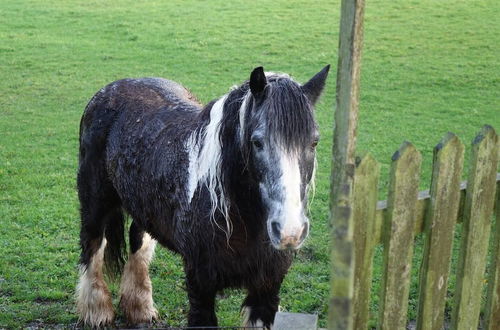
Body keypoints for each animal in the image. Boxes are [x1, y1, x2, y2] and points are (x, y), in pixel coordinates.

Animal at [76, 64, 330, 328]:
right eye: (257, 142)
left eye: (314, 142)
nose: (290, 231)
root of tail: (115, 86)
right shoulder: (201, 285)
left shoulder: (266, 291)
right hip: (94, 202)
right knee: (92, 246)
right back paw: (97, 312)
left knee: (138, 244)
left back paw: (140, 309)